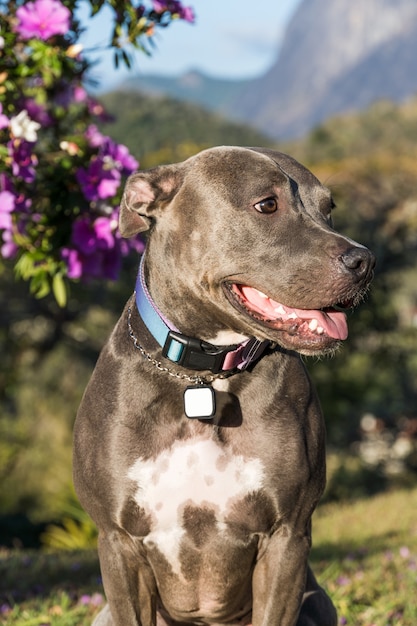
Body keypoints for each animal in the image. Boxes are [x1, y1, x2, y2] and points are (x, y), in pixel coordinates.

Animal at [73, 146, 376, 624]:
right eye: (266, 205)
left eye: (328, 209)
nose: (364, 261)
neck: (205, 374)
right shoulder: (118, 541)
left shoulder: (287, 536)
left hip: (316, 601)